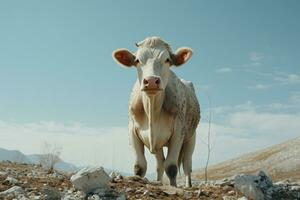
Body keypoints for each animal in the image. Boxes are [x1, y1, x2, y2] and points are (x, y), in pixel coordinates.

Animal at [112, 36, 199, 188]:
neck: (152, 110)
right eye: (137, 60)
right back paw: (159, 181)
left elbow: (171, 167)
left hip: (190, 138)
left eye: (167, 60)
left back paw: (188, 186)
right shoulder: (132, 131)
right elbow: (140, 166)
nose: (151, 81)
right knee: (160, 164)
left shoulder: (178, 133)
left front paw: (173, 186)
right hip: (159, 144)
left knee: (187, 164)